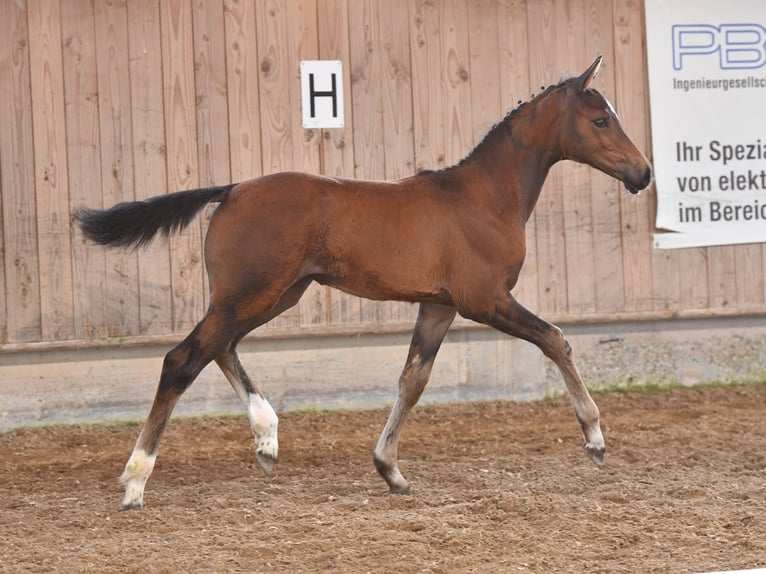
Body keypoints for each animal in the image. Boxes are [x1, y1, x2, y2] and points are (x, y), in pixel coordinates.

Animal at [76, 56, 656, 510]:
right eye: (601, 119)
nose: (643, 173)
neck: (487, 196)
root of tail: (232, 189)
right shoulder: (485, 299)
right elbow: (556, 339)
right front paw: (595, 438)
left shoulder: (439, 306)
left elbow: (413, 380)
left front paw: (390, 470)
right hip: (254, 293)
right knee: (183, 359)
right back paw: (136, 481)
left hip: (273, 295)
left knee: (219, 347)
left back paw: (266, 439)